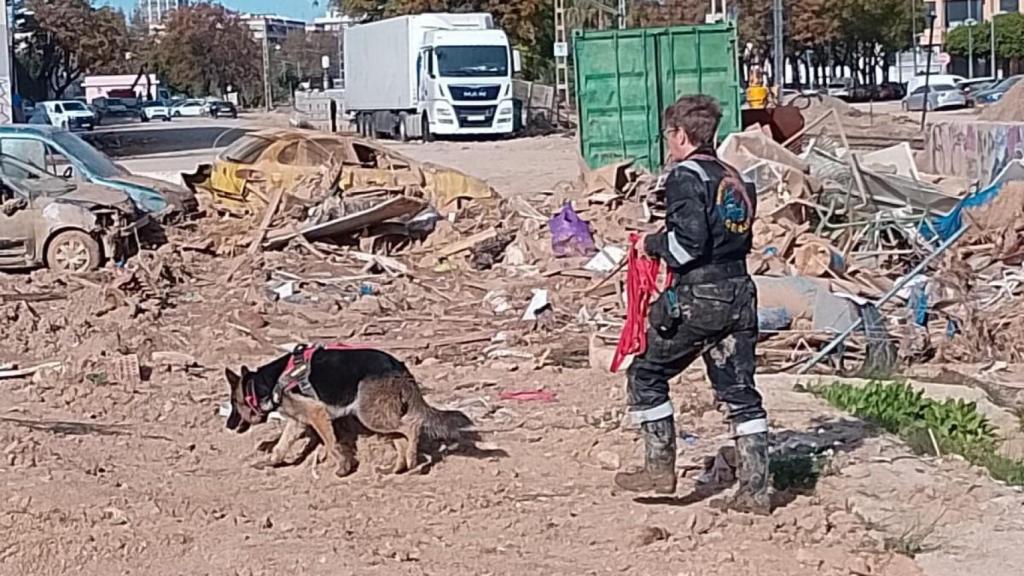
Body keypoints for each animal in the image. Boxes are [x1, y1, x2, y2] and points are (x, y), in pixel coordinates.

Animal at [224, 344, 471, 475]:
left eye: (233, 403)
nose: (227, 425)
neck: (265, 383)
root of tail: (398, 367)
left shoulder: (317, 414)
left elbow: (332, 443)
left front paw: (343, 467)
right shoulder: (299, 421)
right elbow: (281, 446)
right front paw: (271, 462)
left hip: (369, 416)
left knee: (412, 427)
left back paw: (411, 460)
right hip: (379, 416)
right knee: (401, 437)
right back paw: (397, 468)